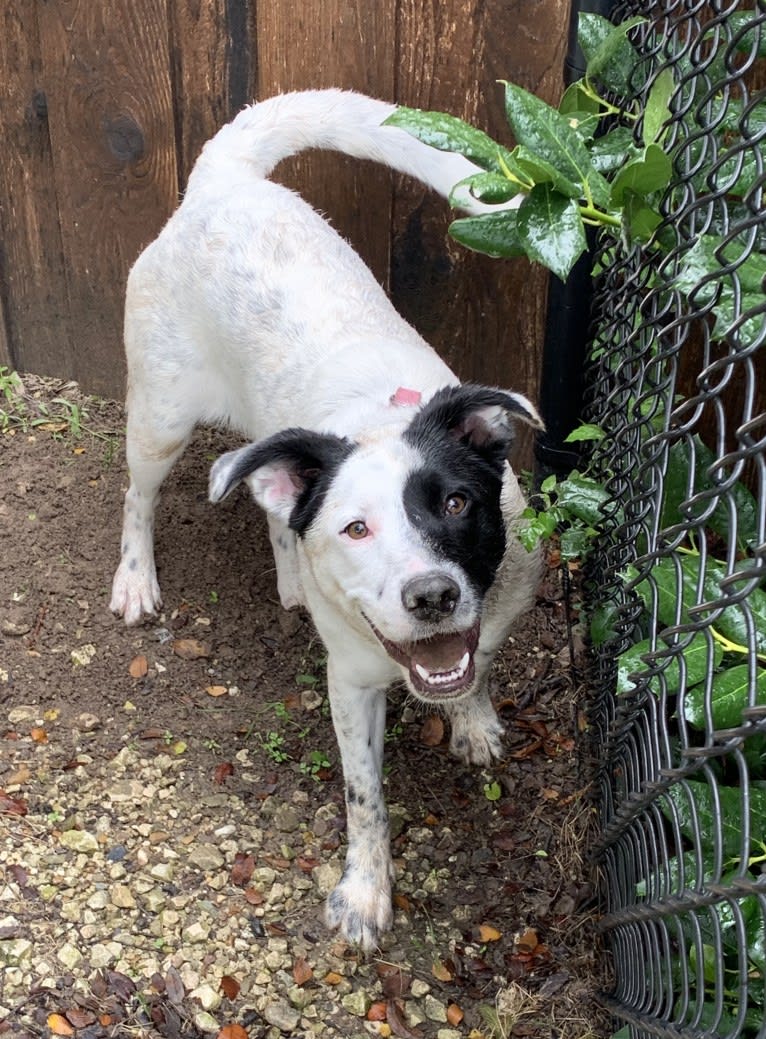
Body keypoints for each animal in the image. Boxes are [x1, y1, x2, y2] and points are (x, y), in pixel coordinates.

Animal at [112, 89, 544, 951]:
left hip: (264, 441)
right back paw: (136, 578)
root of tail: (223, 183)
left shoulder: (501, 604)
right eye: (355, 529)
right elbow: (364, 797)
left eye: (456, 502)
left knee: (266, 499)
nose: (433, 596)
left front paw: (474, 717)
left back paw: (289, 576)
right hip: (161, 418)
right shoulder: (349, 682)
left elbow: (478, 664)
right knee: (138, 496)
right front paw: (366, 892)